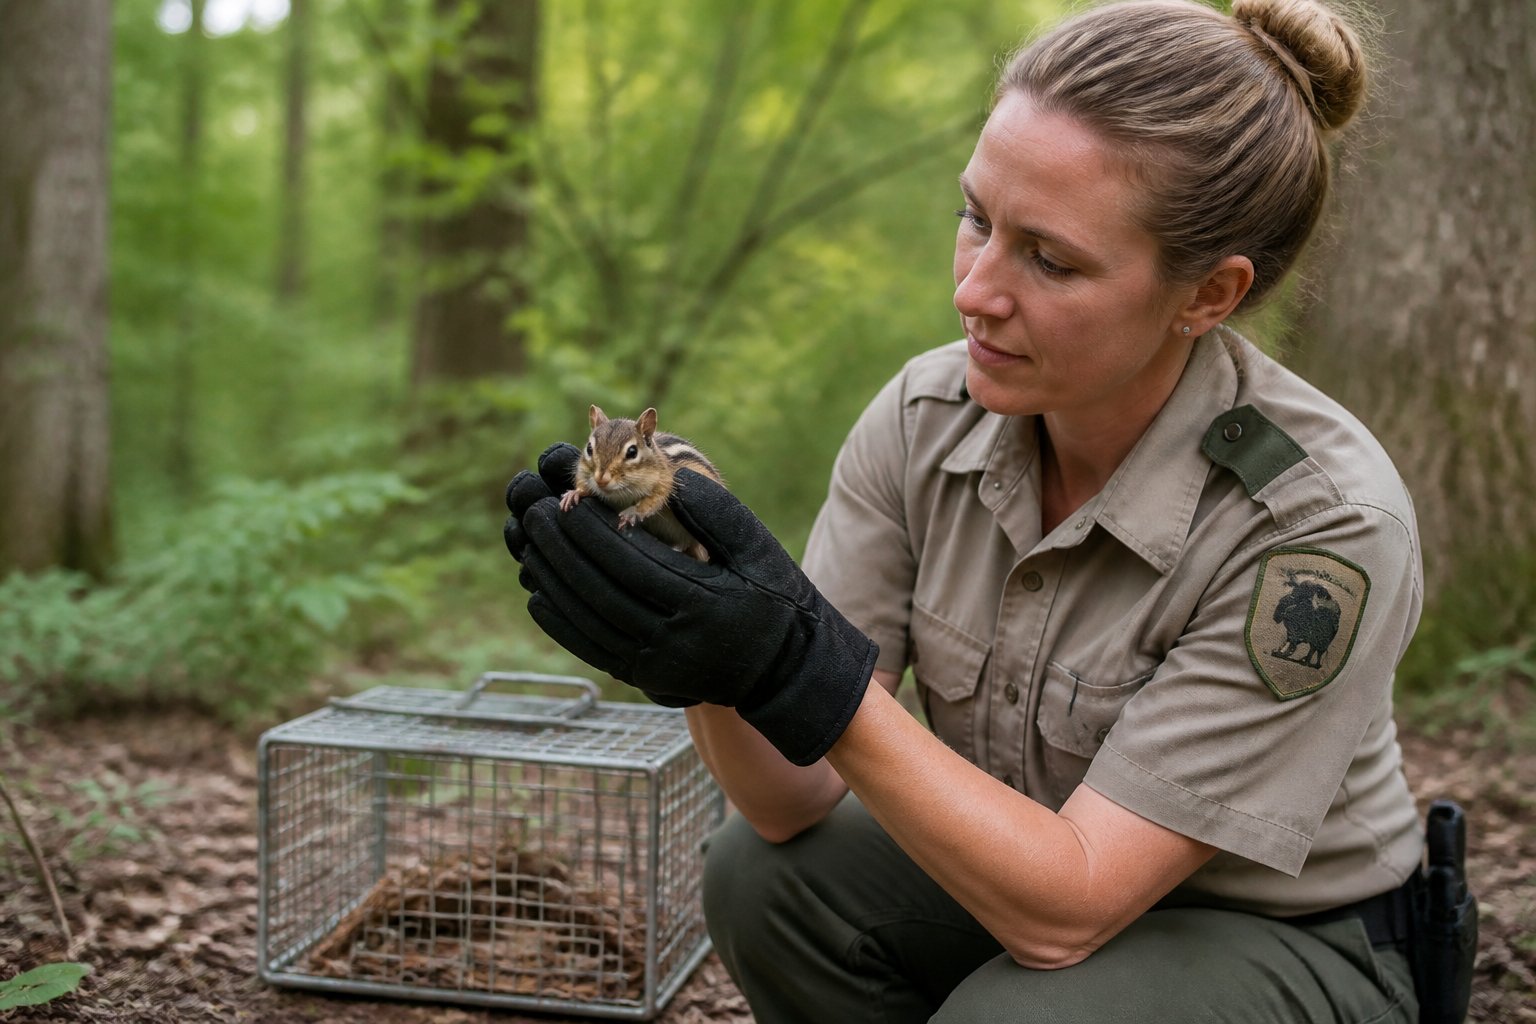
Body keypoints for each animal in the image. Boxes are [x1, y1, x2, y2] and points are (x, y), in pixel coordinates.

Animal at [559, 405, 722, 562]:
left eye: (632, 452)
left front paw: (632, 512)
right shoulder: (582, 471)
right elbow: (582, 482)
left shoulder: (665, 482)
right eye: (589, 448)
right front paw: (574, 494)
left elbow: (653, 501)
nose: (601, 480)